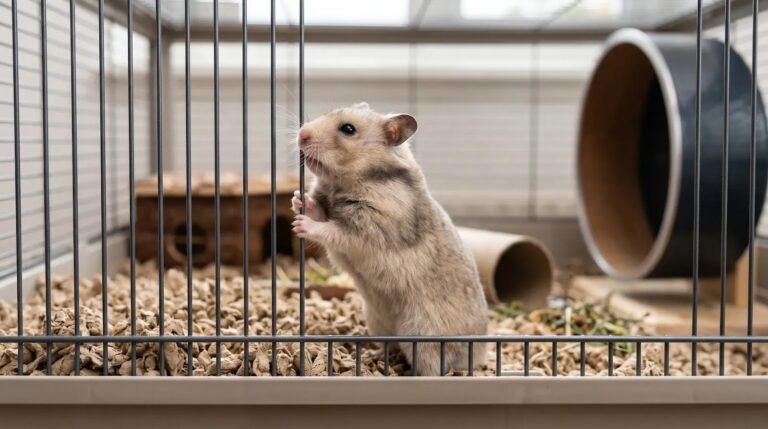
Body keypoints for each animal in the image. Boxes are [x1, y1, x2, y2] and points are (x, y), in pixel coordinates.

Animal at [291, 102, 488, 375]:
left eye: (348, 129)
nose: (301, 135)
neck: (345, 182)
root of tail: (480, 352)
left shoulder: (365, 231)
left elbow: (330, 231)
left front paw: (299, 224)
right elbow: (319, 211)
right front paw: (298, 199)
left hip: (426, 340)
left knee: (435, 367)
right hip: (377, 320)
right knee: (391, 344)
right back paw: (373, 354)